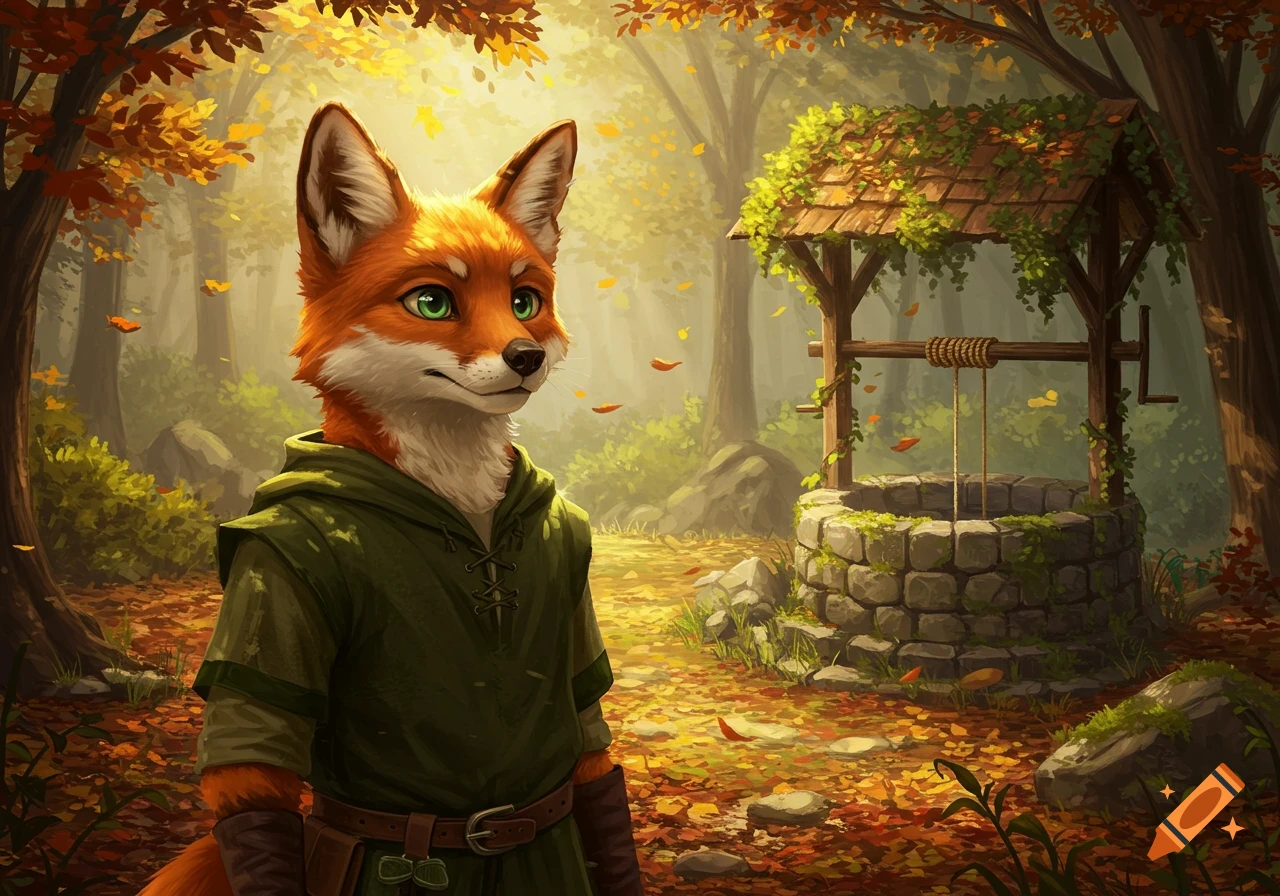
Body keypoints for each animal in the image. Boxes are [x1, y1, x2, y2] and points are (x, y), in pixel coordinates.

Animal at [139, 105, 642, 896]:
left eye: (524, 301)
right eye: (432, 301)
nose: (526, 356)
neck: (465, 510)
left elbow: (592, 745)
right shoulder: (269, 578)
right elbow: (252, 752)